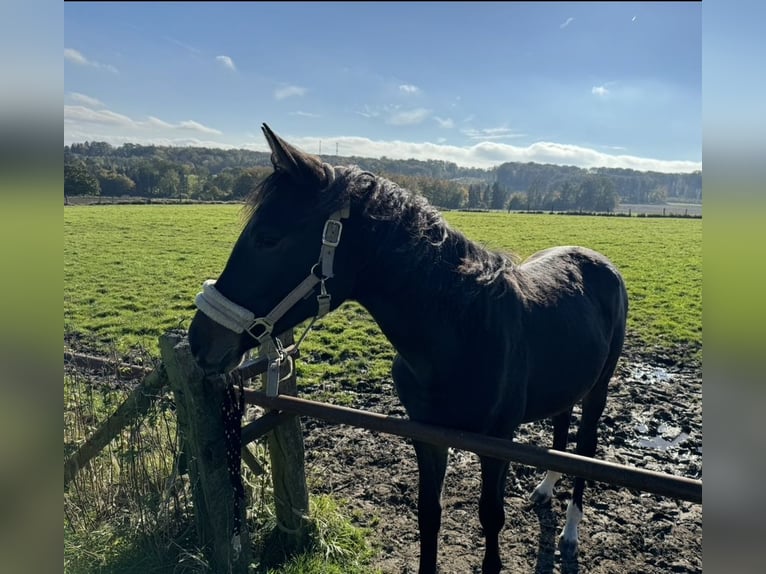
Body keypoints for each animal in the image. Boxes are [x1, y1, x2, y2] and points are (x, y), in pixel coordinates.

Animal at [188, 124, 632, 572]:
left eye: (268, 239)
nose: (200, 339)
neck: (462, 335)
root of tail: (598, 261)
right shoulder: (427, 437)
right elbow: (429, 514)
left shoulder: (497, 443)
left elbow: (491, 518)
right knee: (560, 428)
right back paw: (545, 488)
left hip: (598, 390)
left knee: (585, 449)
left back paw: (570, 534)